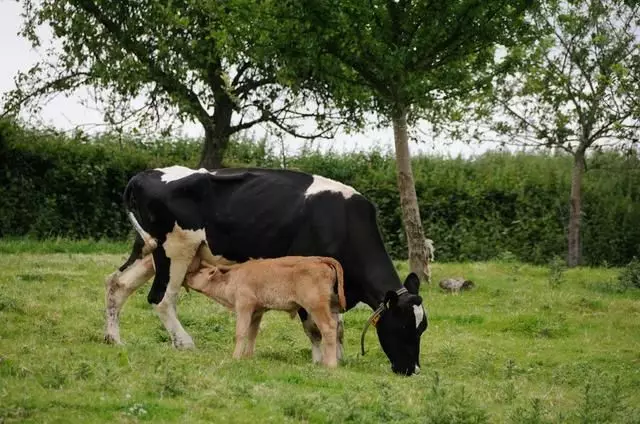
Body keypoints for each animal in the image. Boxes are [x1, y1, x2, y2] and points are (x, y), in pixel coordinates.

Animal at [185, 255, 344, 368]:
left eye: (200, 271)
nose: (187, 276)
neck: (232, 278)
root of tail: (319, 260)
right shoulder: (257, 312)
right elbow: (252, 334)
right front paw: (248, 356)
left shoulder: (244, 306)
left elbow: (241, 332)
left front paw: (235, 357)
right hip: (330, 308)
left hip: (316, 307)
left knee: (328, 328)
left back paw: (330, 365)